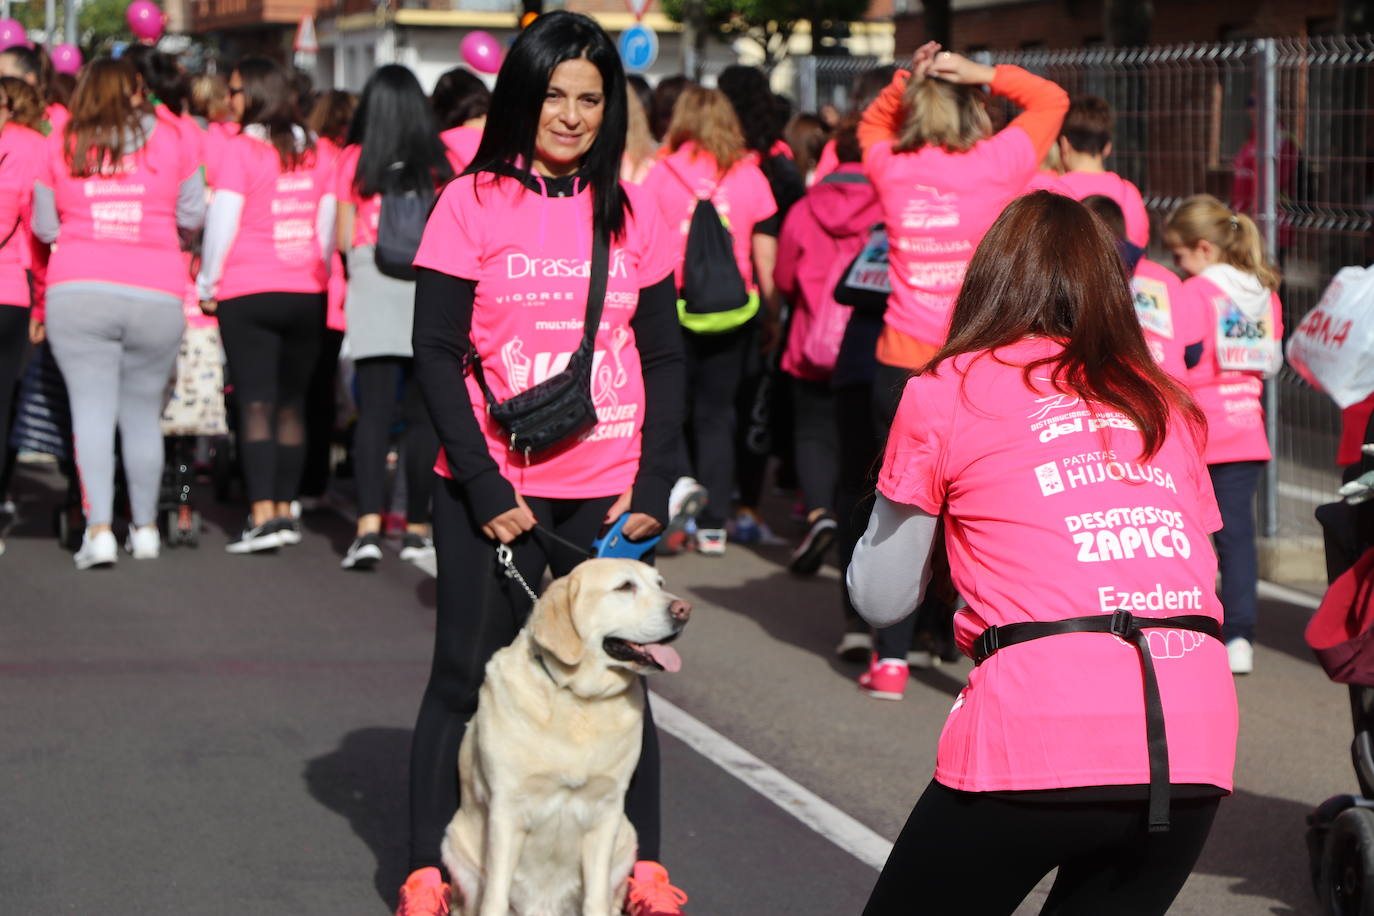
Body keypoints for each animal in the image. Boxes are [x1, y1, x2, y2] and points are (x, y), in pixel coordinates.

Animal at [445, 560, 692, 916]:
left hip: (627, 840)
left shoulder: (607, 811)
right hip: (456, 844)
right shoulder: (507, 808)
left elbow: (596, 898)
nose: (684, 610)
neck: (578, 698)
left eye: (660, 584)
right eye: (624, 587)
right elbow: (495, 896)